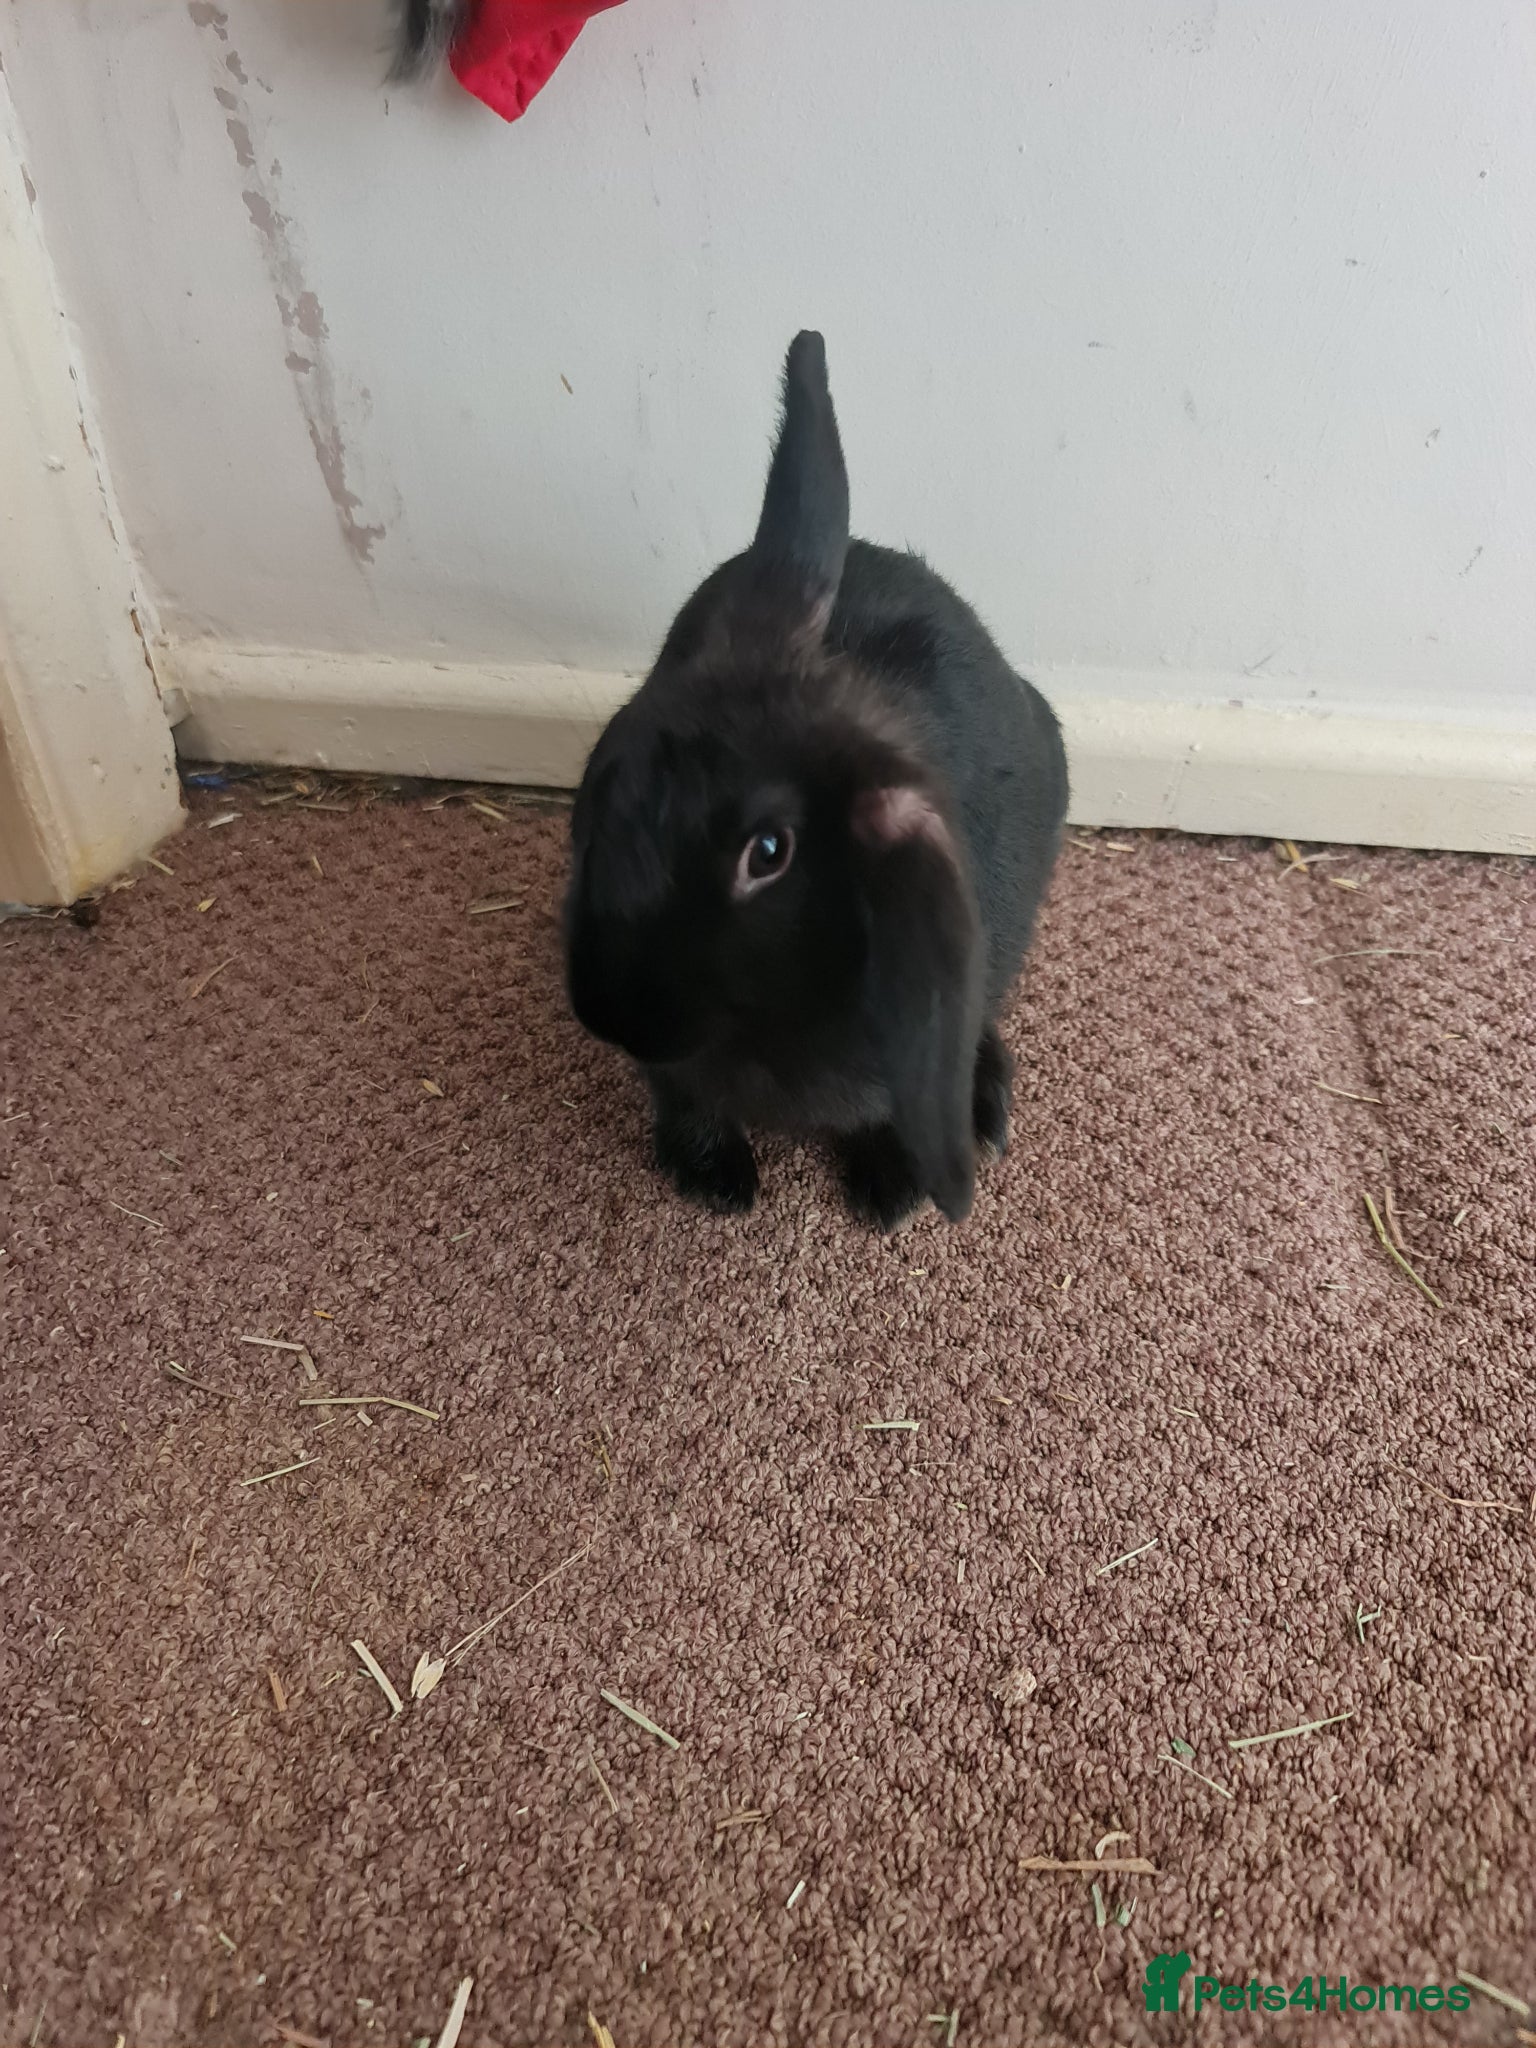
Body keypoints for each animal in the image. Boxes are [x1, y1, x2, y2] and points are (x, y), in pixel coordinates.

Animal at [563, 332, 1069, 1230]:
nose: (609, 1012)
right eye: (606, 770)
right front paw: (712, 1178)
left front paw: (892, 1194)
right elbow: (683, 1096)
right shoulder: (677, 1071)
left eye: (768, 853)